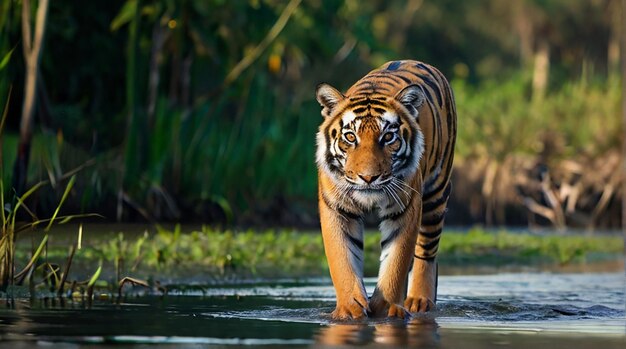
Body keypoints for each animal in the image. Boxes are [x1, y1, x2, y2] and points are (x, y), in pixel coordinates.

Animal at [314, 59, 456, 318]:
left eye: (388, 137)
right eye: (350, 137)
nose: (368, 177)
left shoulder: (407, 206)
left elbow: (396, 261)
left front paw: (387, 308)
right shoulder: (336, 208)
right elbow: (342, 259)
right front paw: (349, 309)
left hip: (436, 193)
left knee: (427, 252)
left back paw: (419, 301)